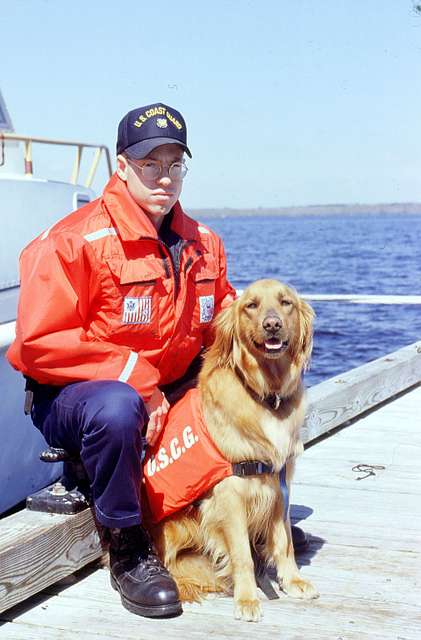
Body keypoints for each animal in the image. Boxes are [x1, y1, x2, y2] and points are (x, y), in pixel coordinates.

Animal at [153, 278, 316, 620]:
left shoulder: (279, 483)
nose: (272, 325)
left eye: (285, 302)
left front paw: (293, 580)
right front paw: (247, 598)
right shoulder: (230, 496)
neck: (267, 396)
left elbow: (284, 541)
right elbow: (242, 553)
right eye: (251, 305)